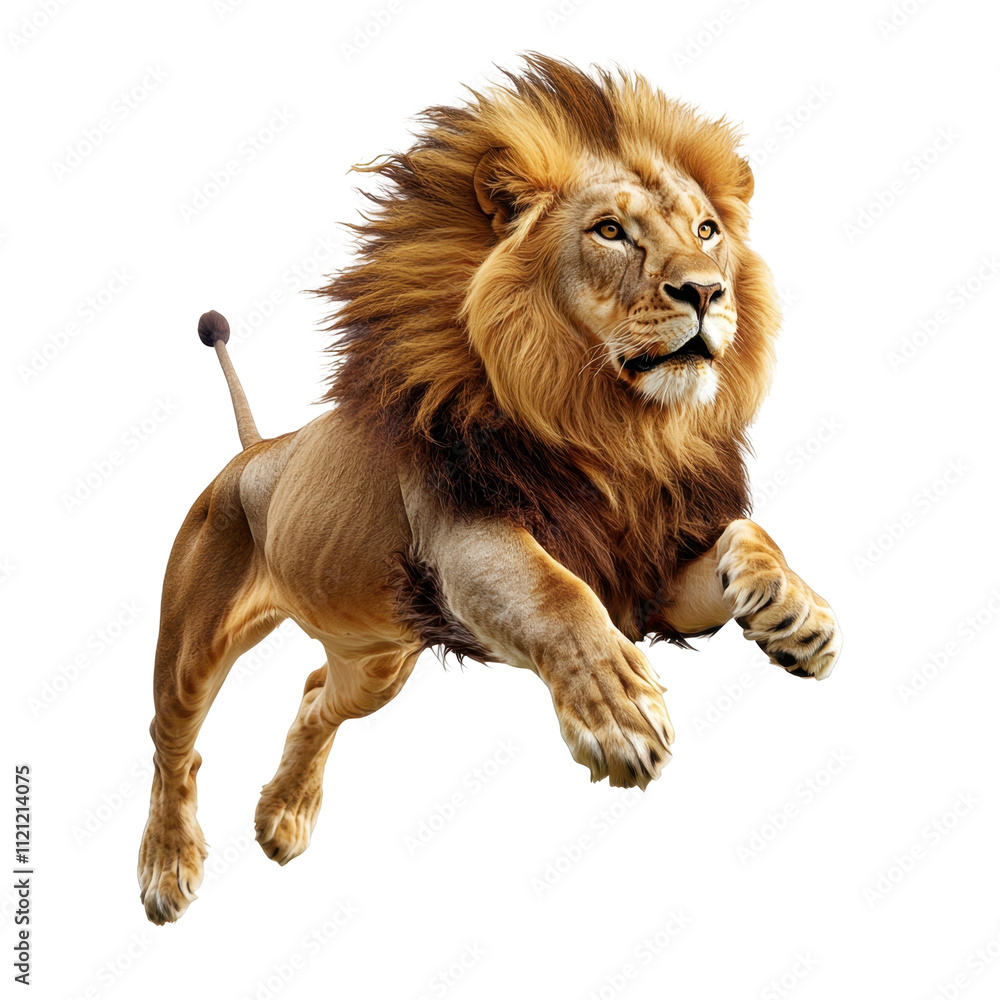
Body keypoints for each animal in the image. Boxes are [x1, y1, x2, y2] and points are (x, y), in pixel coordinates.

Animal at [138, 54, 841, 924]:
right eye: (611, 231)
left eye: (707, 231)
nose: (708, 291)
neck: (616, 428)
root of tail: (256, 453)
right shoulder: (466, 538)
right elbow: (556, 594)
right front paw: (618, 709)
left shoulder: (650, 579)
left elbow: (748, 532)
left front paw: (796, 612)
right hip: (193, 644)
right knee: (172, 744)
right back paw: (167, 868)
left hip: (376, 656)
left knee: (314, 695)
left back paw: (285, 818)